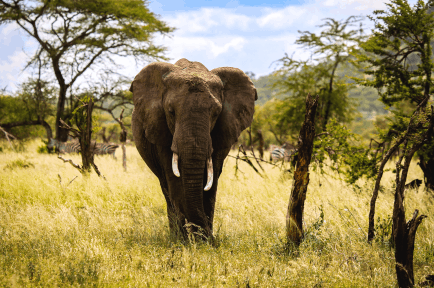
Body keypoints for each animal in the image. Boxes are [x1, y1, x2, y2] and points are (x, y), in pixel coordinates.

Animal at [131, 58, 256, 238]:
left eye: (216, 113)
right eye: (170, 111)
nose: (211, 238)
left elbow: (211, 184)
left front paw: (205, 240)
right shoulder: (160, 130)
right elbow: (174, 182)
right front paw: (185, 241)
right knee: (166, 189)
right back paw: (176, 237)